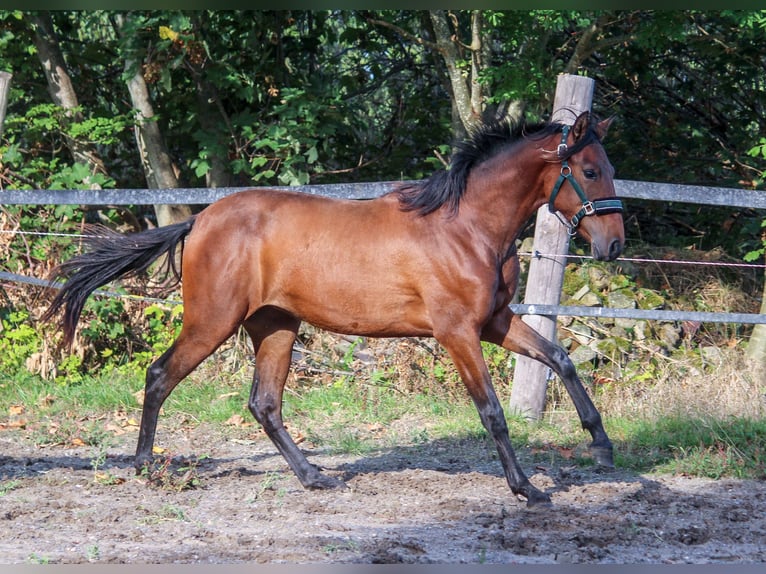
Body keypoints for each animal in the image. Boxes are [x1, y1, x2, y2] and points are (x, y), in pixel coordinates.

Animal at [43, 110, 624, 506]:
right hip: (213, 321)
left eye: (606, 166)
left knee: (264, 403)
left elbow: (560, 358)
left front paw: (600, 446)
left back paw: (315, 476)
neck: (466, 227)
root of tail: (201, 220)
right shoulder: (457, 332)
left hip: (275, 326)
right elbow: (494, 413)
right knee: (161, 375)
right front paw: (527, 489)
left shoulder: (495, 323)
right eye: (591, 171)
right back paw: (145, 467)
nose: (614, 245)